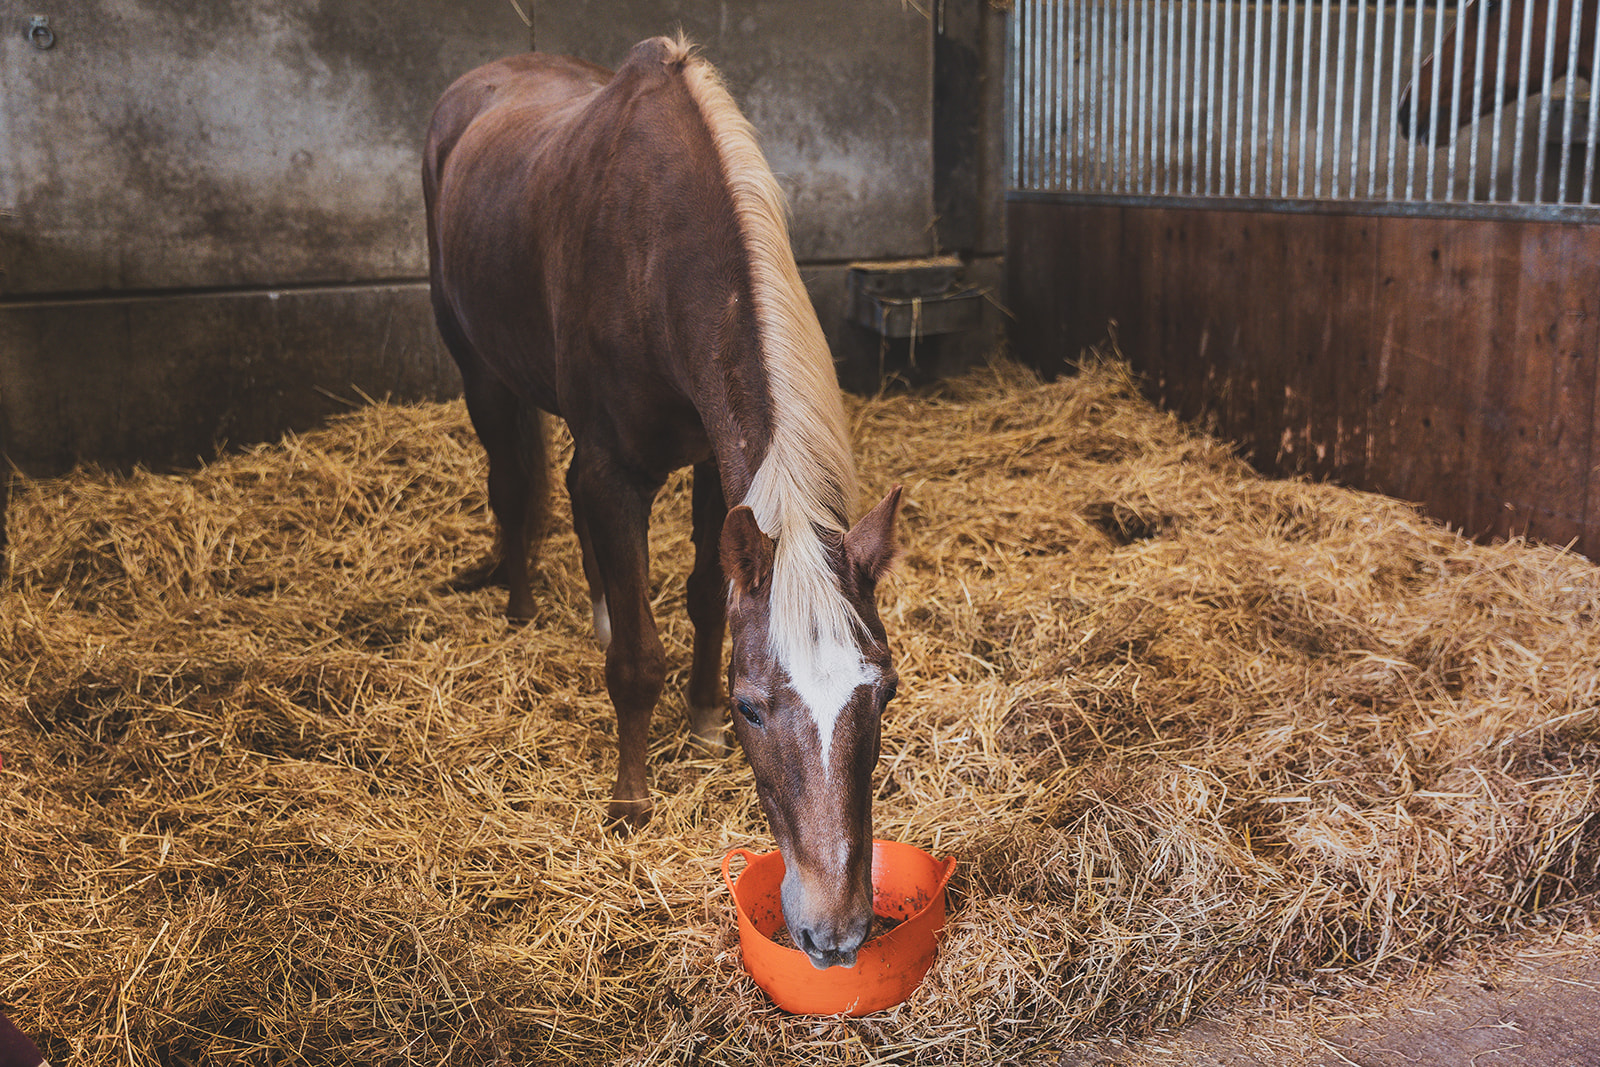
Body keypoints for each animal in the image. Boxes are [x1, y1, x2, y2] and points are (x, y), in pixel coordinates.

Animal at [422, 35, 903, 970]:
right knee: (514, 481)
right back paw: (520, 602)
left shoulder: (717, 470)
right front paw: (631, 796)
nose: (834, 933)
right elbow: (638, 656)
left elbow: (703, 597)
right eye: (757, 704)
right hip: (476, 365)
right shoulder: (615, 472)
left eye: (885, 691)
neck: (658, 248)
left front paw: (701, 720)